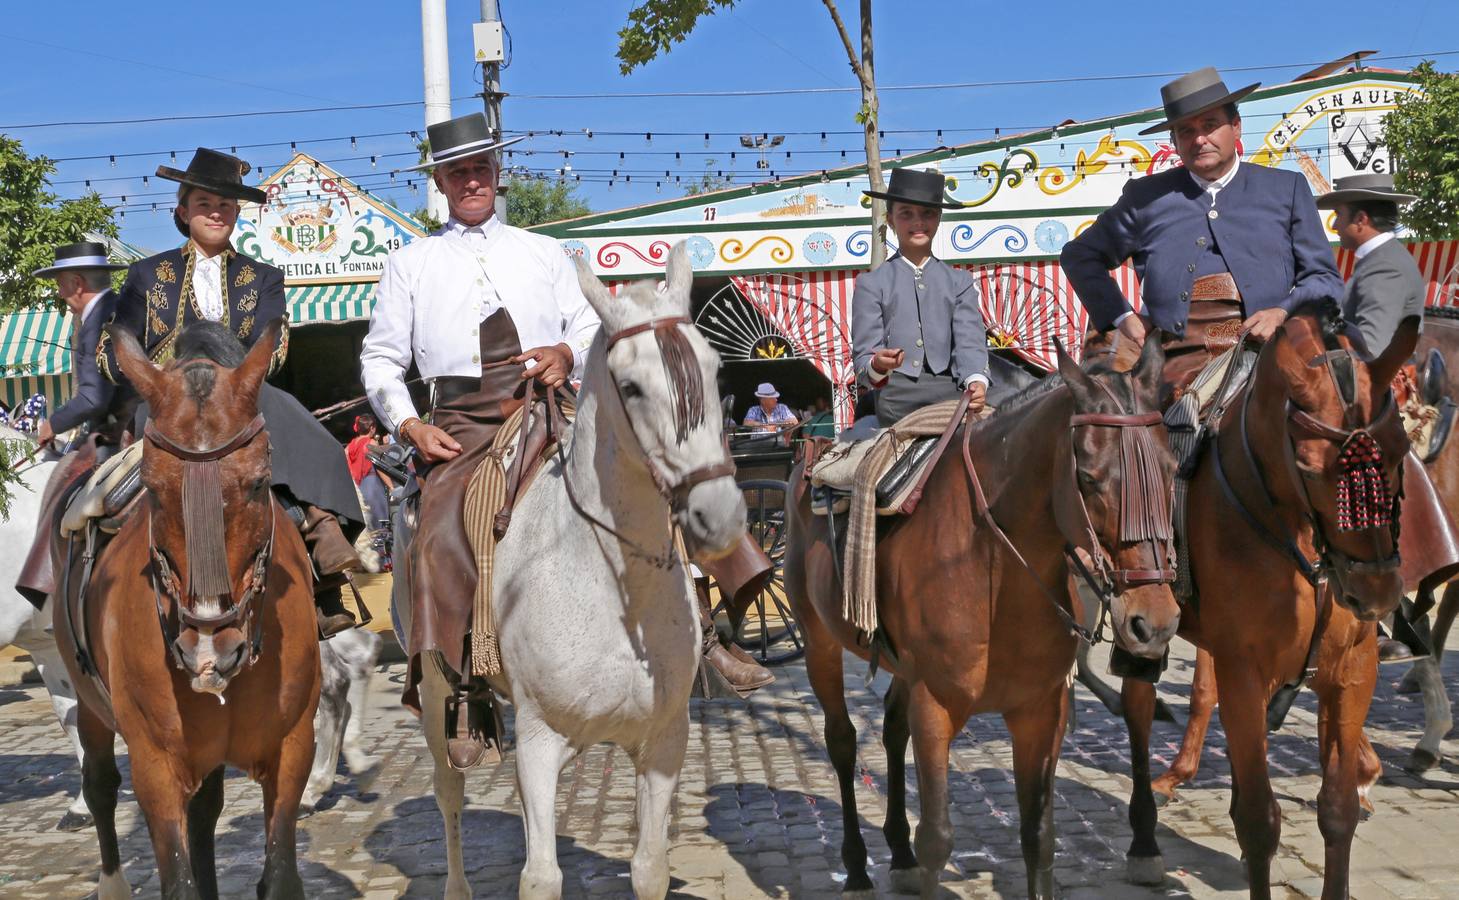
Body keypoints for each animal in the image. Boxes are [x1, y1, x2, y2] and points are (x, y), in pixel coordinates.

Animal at [56, 319, 322, 892]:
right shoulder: (155, 768)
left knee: (204, 812)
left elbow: (280, 875)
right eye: (152, 490)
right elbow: (177, 880)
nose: (209, 651)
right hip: (90, 705)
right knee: (100, 785)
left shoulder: (292, 749)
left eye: (259, 483)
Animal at [396, 240, 741, 898]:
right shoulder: (538, 744)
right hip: (432, 691)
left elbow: (649, 868)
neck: (616, 590)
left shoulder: (665, 744)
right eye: (631, 386)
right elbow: (540, 877)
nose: (720, 514)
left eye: (715, 370)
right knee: (448, 795)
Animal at [787, 338, 1184, 898]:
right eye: (1088, 478)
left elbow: (1038, 833)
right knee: (842, 741)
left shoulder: (1041, 711)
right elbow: (938, 837)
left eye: (1172, 467)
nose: (1155, 620)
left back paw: (899, 855)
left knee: (890, 728)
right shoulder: (935, 707)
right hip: (818, 639)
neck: (995, 568)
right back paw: (859, 868)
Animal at [1108, 309, 1418, 898]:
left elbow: (1337, 807)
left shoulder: (1352, 671)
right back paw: (1143, 839)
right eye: (1312, 466)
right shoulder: (1245, 671)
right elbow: (1257, 820)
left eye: (1399, 451)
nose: (1377, 592)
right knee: (1139, 707)